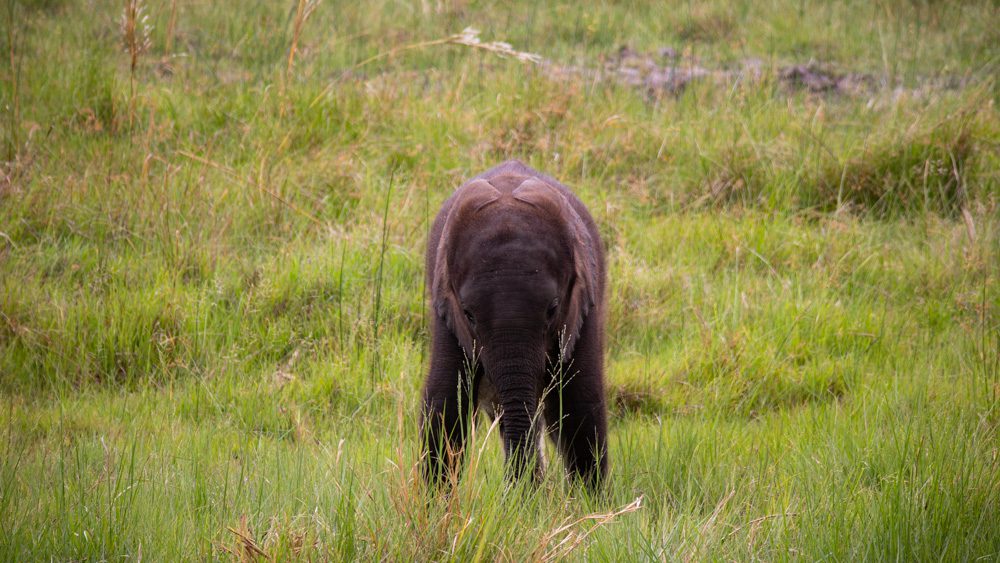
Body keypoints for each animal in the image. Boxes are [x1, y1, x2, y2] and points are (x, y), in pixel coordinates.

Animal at [421, 159, 608, 489]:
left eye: (553, 309)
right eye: (468, 314)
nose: (518, 487)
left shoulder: (585, 305)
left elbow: (579, 405)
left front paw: (592, 502)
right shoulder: (444, 307)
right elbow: (445, 405)